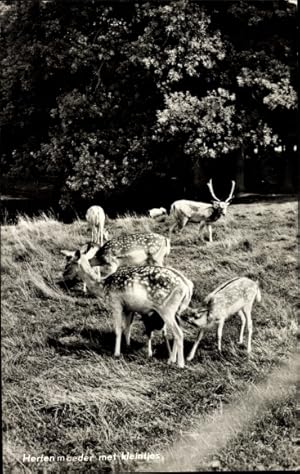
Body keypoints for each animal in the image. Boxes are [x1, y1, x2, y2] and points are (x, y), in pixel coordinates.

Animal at [63, 250, 193, 368]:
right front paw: (127, 347)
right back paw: (171, 360)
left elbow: (118, 330)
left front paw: (116, 353)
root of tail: (186, 287)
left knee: (178, 333)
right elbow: (127, 328)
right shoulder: (129, 308)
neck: (103, 286)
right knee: (176, 332)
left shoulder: (116, 304)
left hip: (167, 309)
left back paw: (180, 364)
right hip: (177, 311)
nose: (63, 274)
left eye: (70, 263)